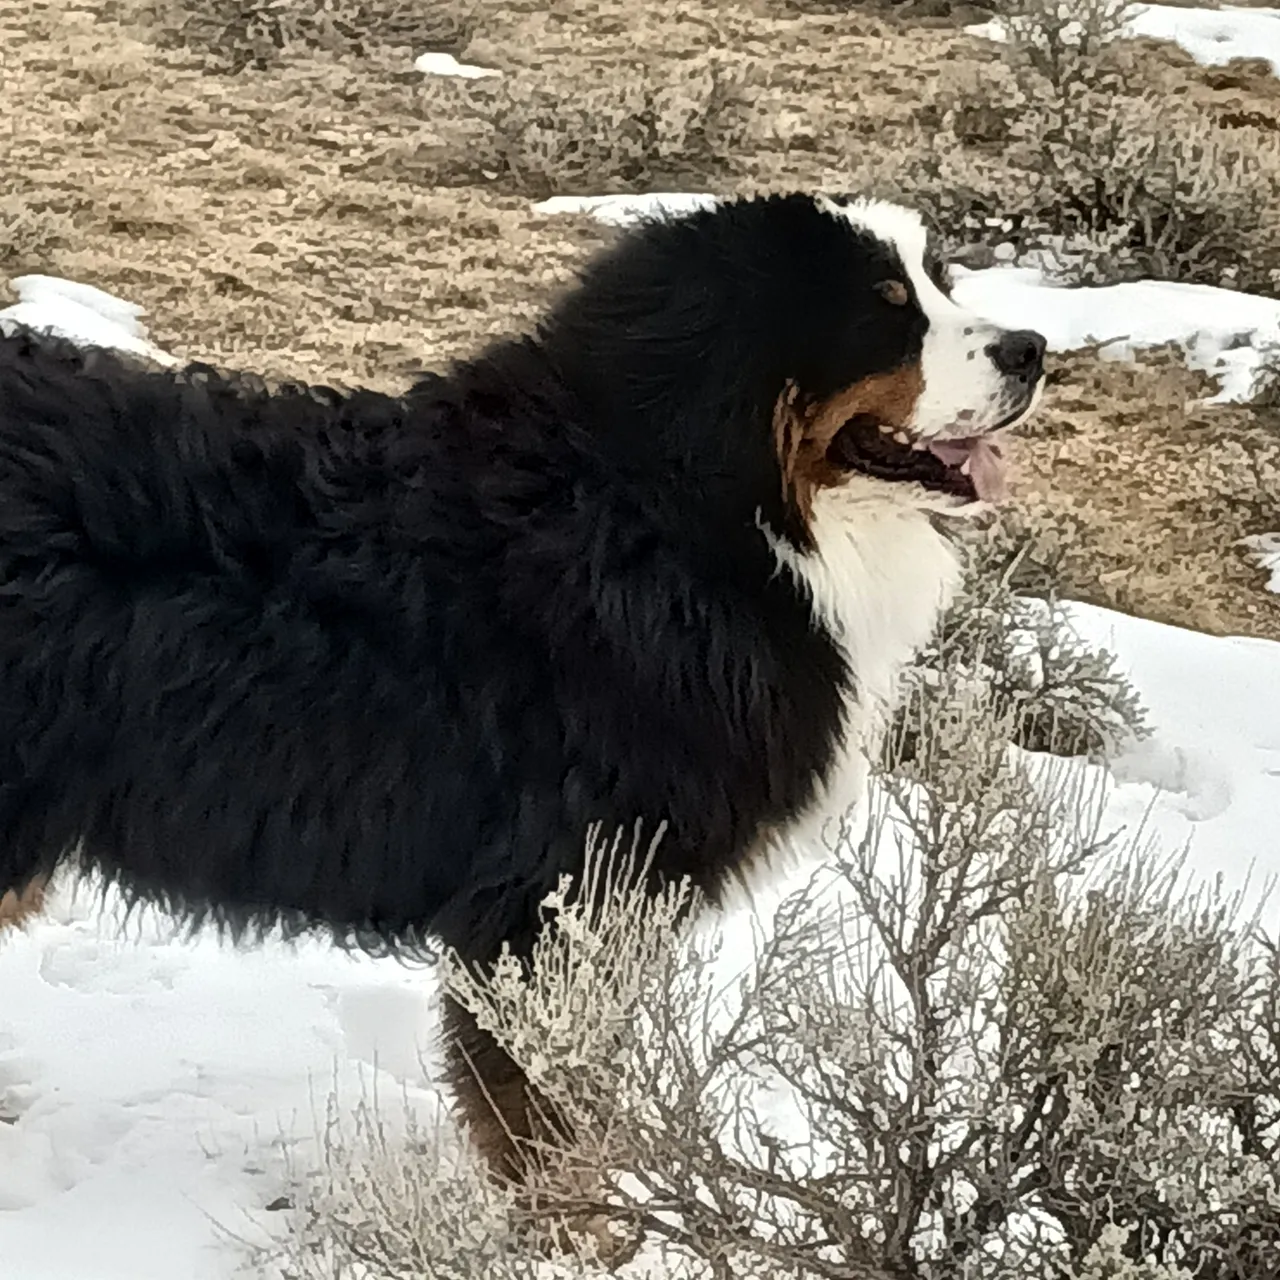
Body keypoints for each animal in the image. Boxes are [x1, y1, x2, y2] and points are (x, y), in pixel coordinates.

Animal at [0, 194, 1039, 1182]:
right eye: (884, 309)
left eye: (941, 282)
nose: (1032, 348)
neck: (675, 516)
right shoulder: (549, 908)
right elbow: (553, 1136)